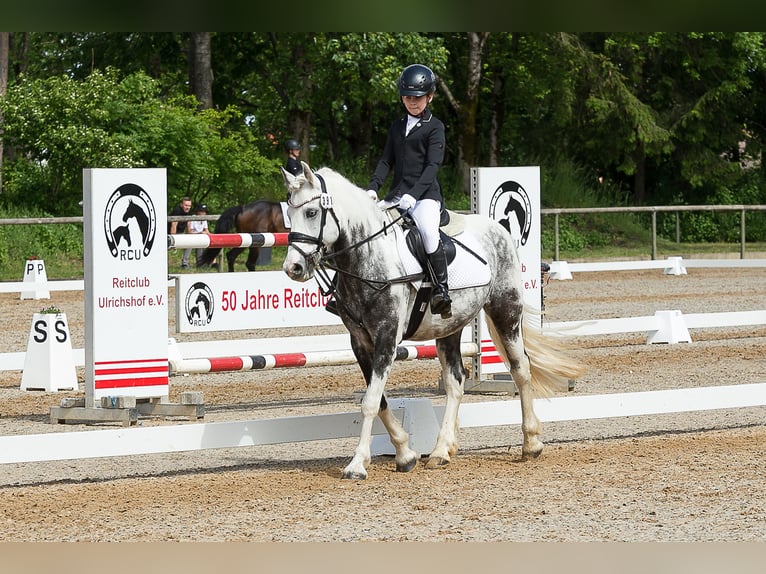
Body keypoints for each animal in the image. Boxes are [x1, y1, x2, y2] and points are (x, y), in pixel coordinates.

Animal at [284, 162, 588, 482]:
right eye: (289, 213)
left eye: (311, 212)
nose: (293, 268)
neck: (367, 257)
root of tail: (498, 228)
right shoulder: (360, 342)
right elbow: (379, 400)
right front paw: (405, 454)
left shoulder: (386, 337)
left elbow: (370, 402)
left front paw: (357, 465)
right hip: (450, 327)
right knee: (456, 382)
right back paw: (442, 451)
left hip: (505, 310)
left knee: (521, 369)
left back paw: (531, 443)